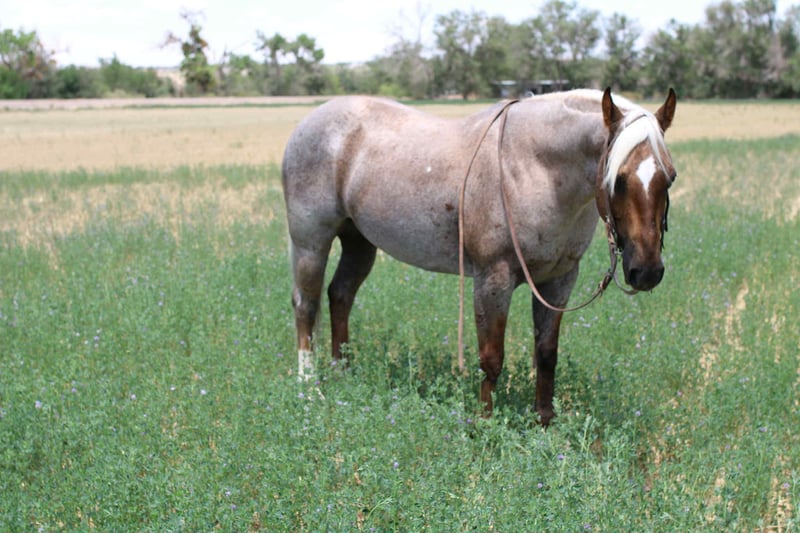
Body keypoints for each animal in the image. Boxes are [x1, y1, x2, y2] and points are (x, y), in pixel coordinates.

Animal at [282, 88, 677, 425]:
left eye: (669, 177)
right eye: (618, 179)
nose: (646, 272)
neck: (534, 167)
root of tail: (308, 123)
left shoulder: (558, 281)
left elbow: (546, 353)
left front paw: (544, 422)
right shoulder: (492, 280)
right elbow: (491, 359)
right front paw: (484, 426)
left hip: (359, 242)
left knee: (340, 295)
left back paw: (342, 371)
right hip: (310, 243)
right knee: (306, 306)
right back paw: (308, 389)